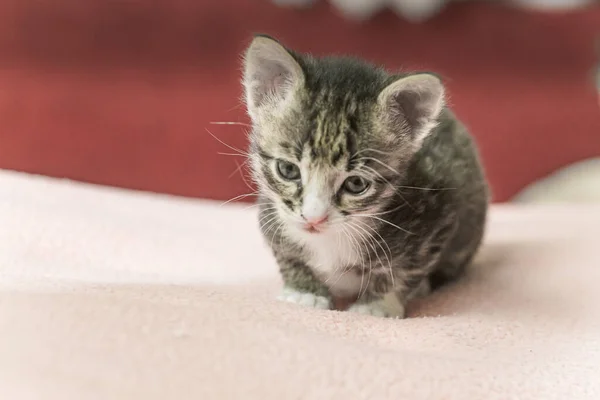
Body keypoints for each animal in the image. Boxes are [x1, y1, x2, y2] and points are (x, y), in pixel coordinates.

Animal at [241, 35, 490, 318]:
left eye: (356, 184)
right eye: (288, 170)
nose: (314, 218)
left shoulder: (440, 214)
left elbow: (404, 269)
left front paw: (376, 305)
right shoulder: (270, 213)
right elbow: (286, 252)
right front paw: (304, 291)